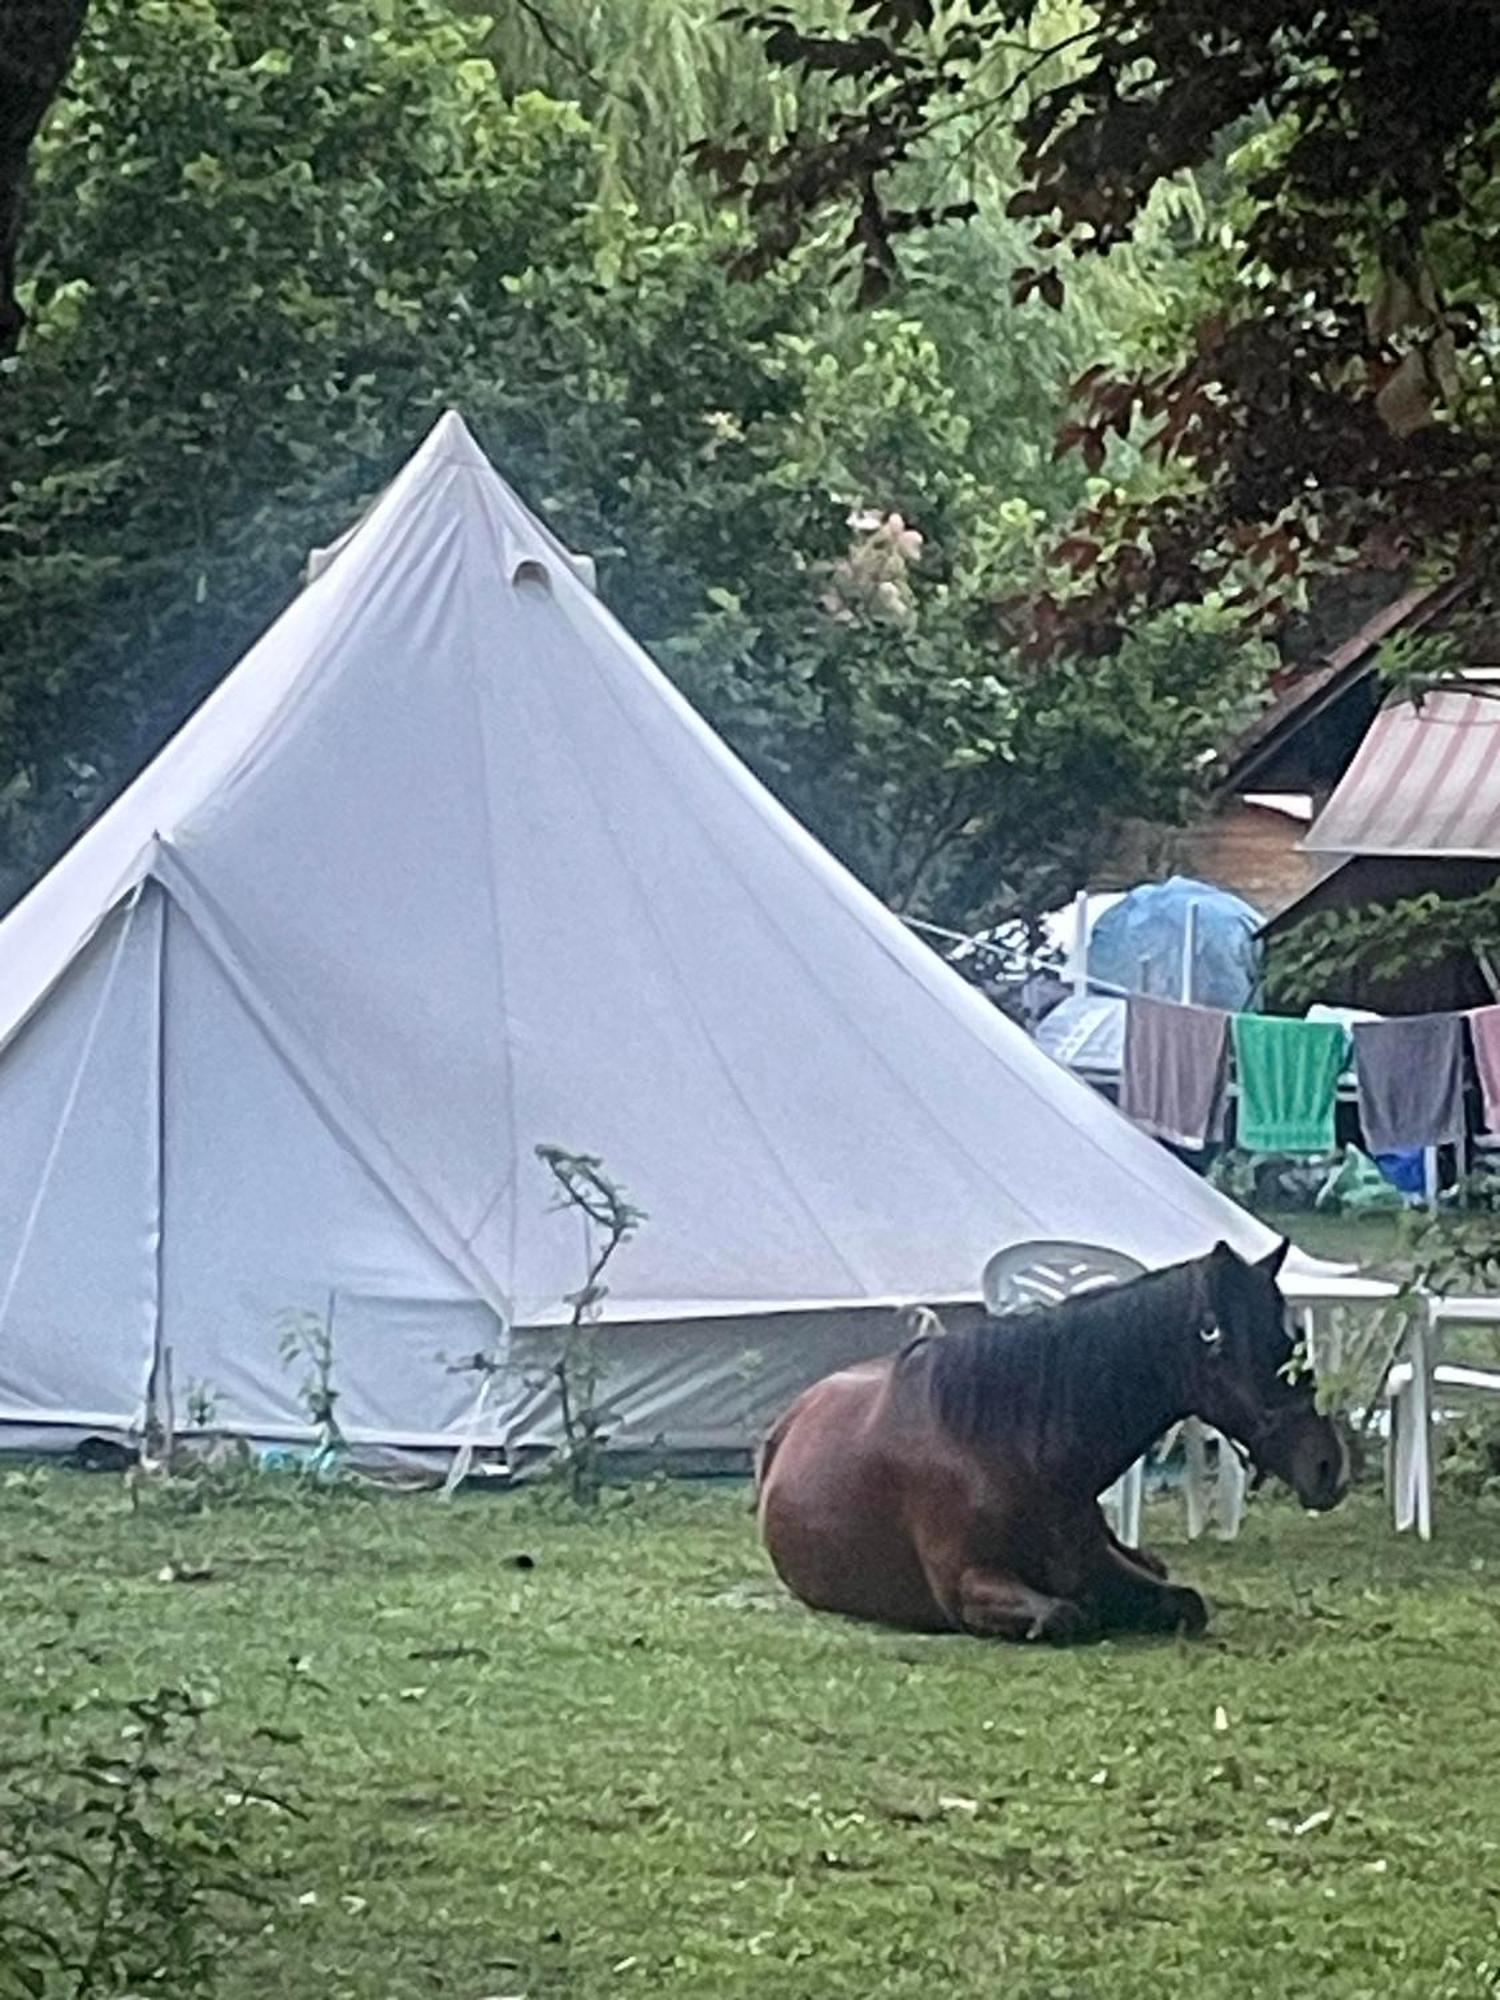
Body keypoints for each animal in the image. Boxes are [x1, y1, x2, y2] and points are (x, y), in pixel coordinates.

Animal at [764, 1240, 1352, 1648]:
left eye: (1294, 1340)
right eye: (1232, 1342)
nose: (1329, 1466)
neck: (1006, 1450)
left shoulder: (1102, 1565)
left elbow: (1185, 1602)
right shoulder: (969, 1587)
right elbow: (1066, 1614)